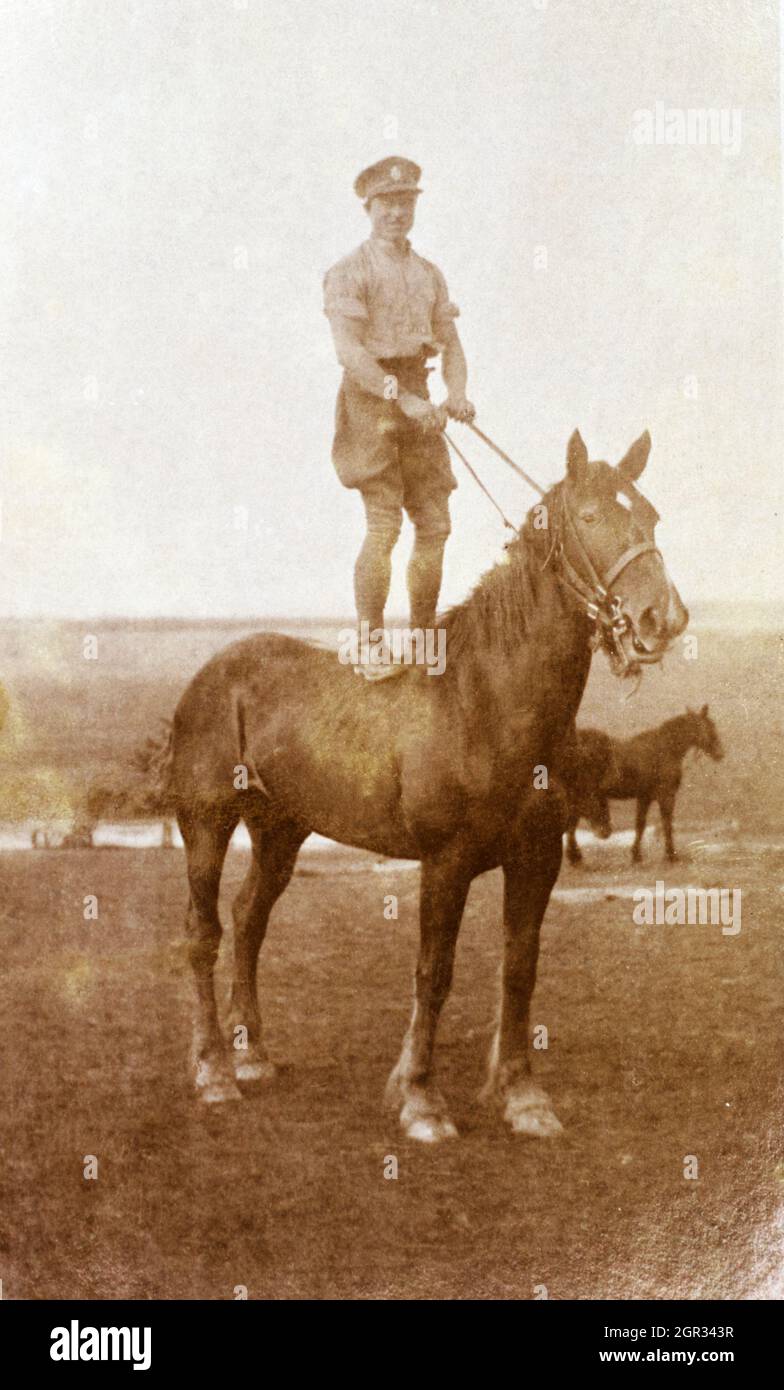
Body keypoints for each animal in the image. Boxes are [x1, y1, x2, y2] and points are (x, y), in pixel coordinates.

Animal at [164, 430, 686, 1139]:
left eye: (652, 516)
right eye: (591, 517)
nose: (663, 617)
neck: (485, 701)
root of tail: (214, 672)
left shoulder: (538, 860)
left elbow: (520, 970)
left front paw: (522, 1096)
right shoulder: (445, 863)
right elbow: (433, 974)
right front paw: (419, 1098)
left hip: (281, 829)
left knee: (249, 922)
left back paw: (253, 1056)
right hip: (207, 824)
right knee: (204, 935)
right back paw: (215, 1071)